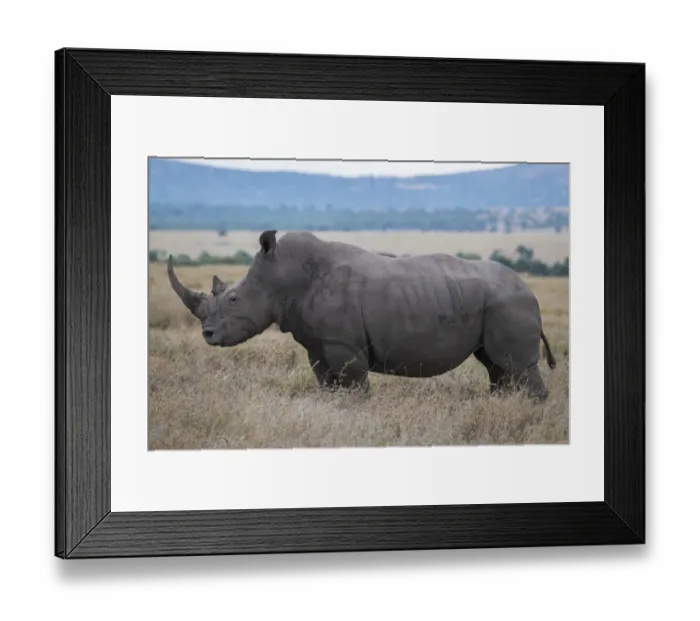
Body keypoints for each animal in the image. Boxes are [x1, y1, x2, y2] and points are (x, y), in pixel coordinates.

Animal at [167, 230, 556, 400]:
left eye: (233, 299)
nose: (207, 335)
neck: (283, 275)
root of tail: (531, 291)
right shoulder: (318, 343)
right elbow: (326, 382)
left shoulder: (343, 342)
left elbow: (354, 383)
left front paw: (357, 409)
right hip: (496, 304)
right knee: (498, 366)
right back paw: (503, 404)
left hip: (510, 304)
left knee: (516, 367)